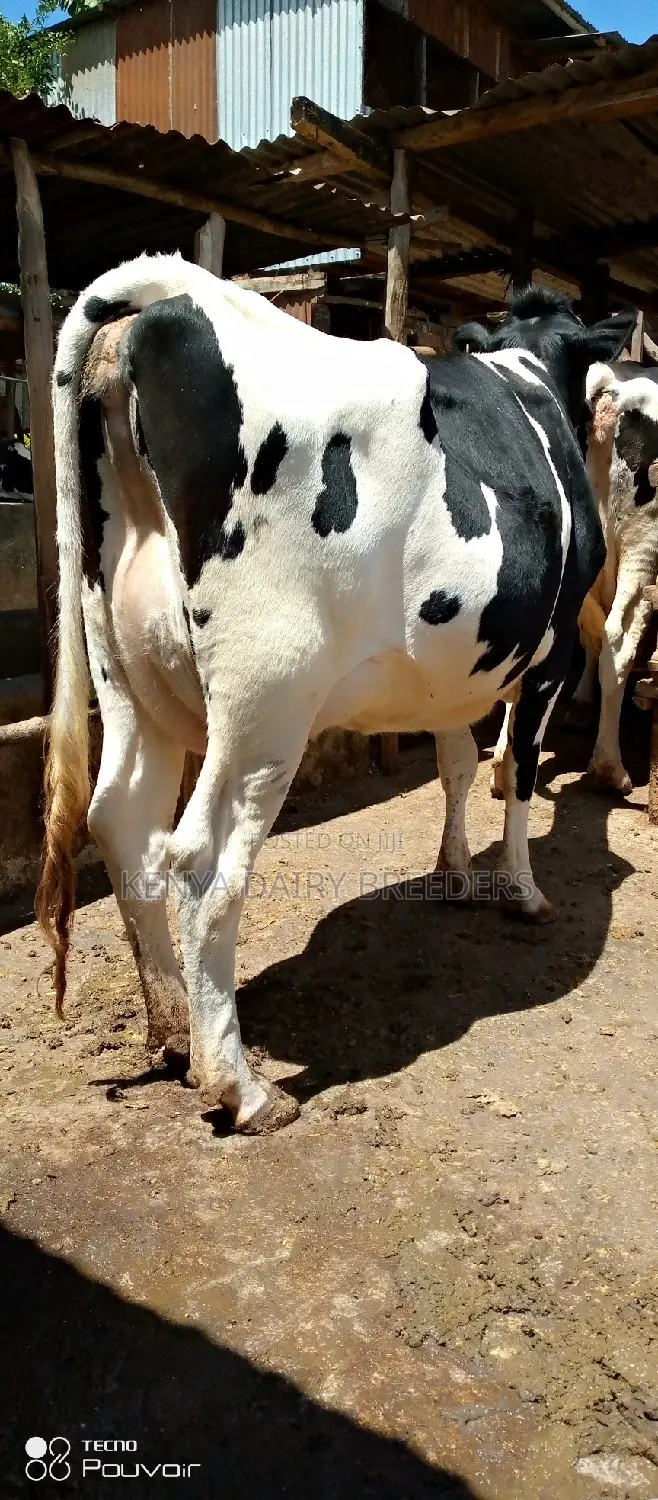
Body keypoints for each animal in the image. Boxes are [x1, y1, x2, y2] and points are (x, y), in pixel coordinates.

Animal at [36, 256, 635, 1133]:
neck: (531, 371)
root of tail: (174, 297)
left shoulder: (449, 673)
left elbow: (457, 764)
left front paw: (456, 871)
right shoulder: (552, 652)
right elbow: (517, 774)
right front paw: (521, 890)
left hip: (126, 672)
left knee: (121, 821)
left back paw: (175, 1033)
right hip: (266, 701)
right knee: (199, 860)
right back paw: (240, 1086)